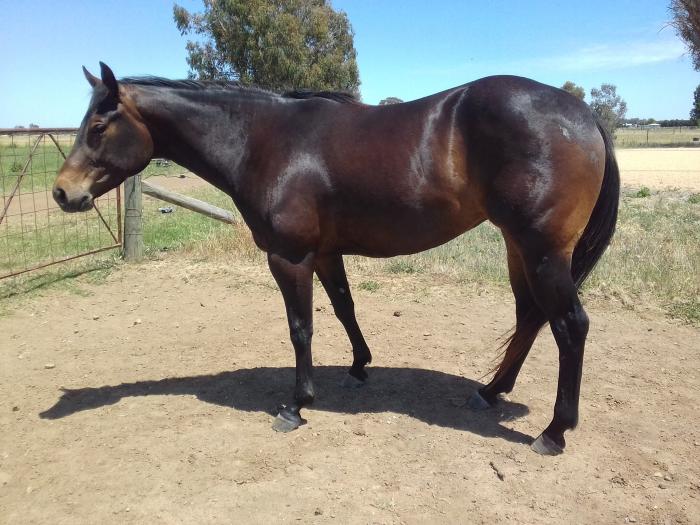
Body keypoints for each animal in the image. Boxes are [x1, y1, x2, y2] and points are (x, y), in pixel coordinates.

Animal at [53, 62, 619, 455]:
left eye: (99, 126)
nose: (62, 192)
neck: (262, 139)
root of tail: (584, 115)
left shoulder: (289, 257)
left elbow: (301, 327)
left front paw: (297, 405)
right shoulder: (325, 253)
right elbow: (345, 308)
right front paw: (359, 366)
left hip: (542, 251)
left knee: (570, 325)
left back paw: (554, 431)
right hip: (518, 247)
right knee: (529, 317)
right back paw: (491, 391)